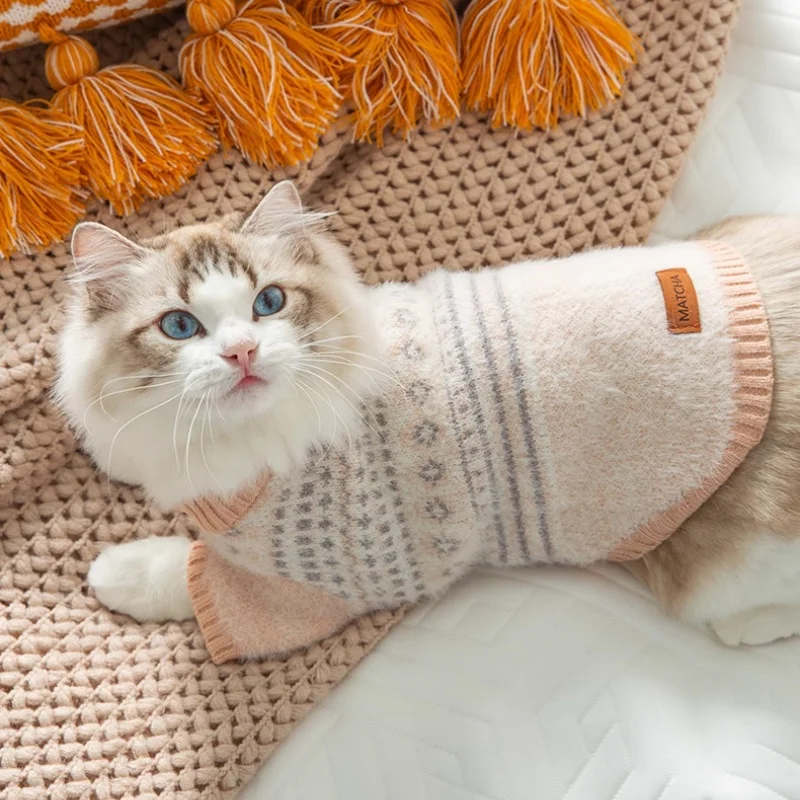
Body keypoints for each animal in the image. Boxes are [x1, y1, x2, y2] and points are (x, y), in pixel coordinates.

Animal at [55, 182, 800, 651]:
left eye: (269, 303)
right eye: (180, 326)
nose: (242, 353)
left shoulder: (316, 585)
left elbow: (186, 575)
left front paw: (117, 573)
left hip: (714, 566)